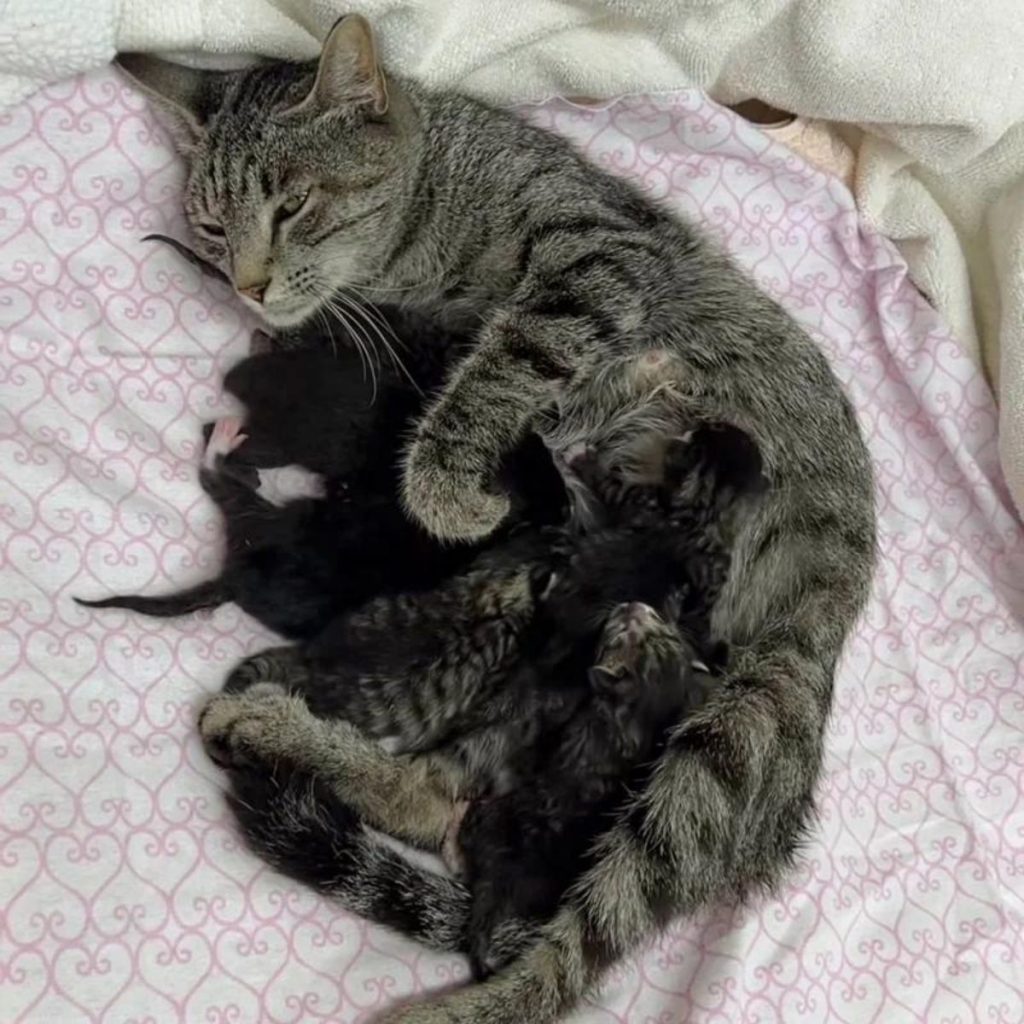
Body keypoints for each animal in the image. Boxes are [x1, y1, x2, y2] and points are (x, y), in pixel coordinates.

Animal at [117, 16, 872, 1024]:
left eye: (293, 205)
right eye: (212, 225)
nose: (246, 284)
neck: (420, 218)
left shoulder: (595, 250)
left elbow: (511, 355)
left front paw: (448, 483)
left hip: (738, 732)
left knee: (569, 956)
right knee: (435, 800)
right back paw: (280, 734)